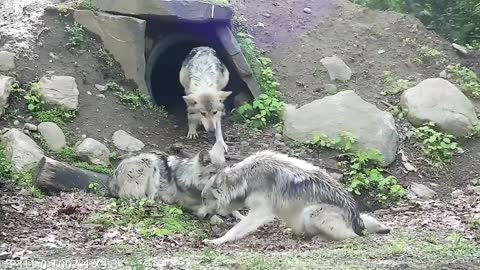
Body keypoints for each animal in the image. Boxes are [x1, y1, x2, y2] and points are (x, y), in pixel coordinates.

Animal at [109, 141, 244, 221]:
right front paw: (215, 218)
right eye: (214, 174)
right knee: (143, 198)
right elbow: (206, 208)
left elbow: (233, 209)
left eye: (226, 173)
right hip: (149, 162)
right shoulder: (185, 202)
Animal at [199, 151, 390, 246]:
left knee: (353, 236)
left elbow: (234, 231)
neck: (246, 179)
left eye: (203, 199)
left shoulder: (260, 213)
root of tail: (357, 220)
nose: (199, 215)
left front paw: (216, 241)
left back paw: (319, 238)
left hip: (311, 213)